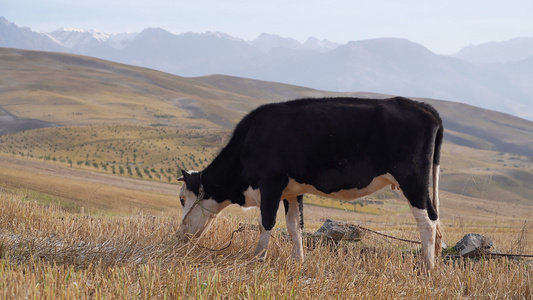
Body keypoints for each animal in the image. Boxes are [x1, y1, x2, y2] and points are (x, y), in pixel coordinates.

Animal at [177, 98, 442, 270]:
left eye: (182, 199)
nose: (180, 234)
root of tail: (424, 107)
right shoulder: (292, 191)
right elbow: (295, 226)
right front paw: (298, 260)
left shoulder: (271, 183)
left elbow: (266, 223)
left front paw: (257, 258)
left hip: (412, 180)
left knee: (427, 220)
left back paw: (428, 267)